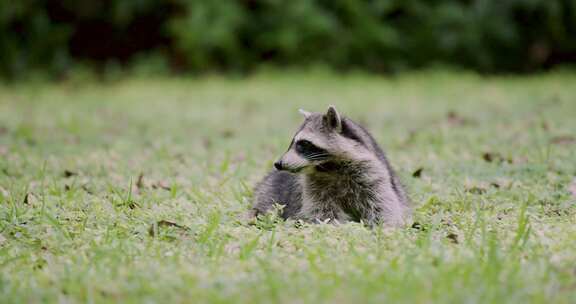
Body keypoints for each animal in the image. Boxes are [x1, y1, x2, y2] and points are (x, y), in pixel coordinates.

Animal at [251, 105, 410, 227]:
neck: (329, 167)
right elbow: (322, 211)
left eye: (303, 143)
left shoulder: (372, 175)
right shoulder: (314, 186)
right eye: (292, 143)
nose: (278, 164)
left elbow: (382, 205)